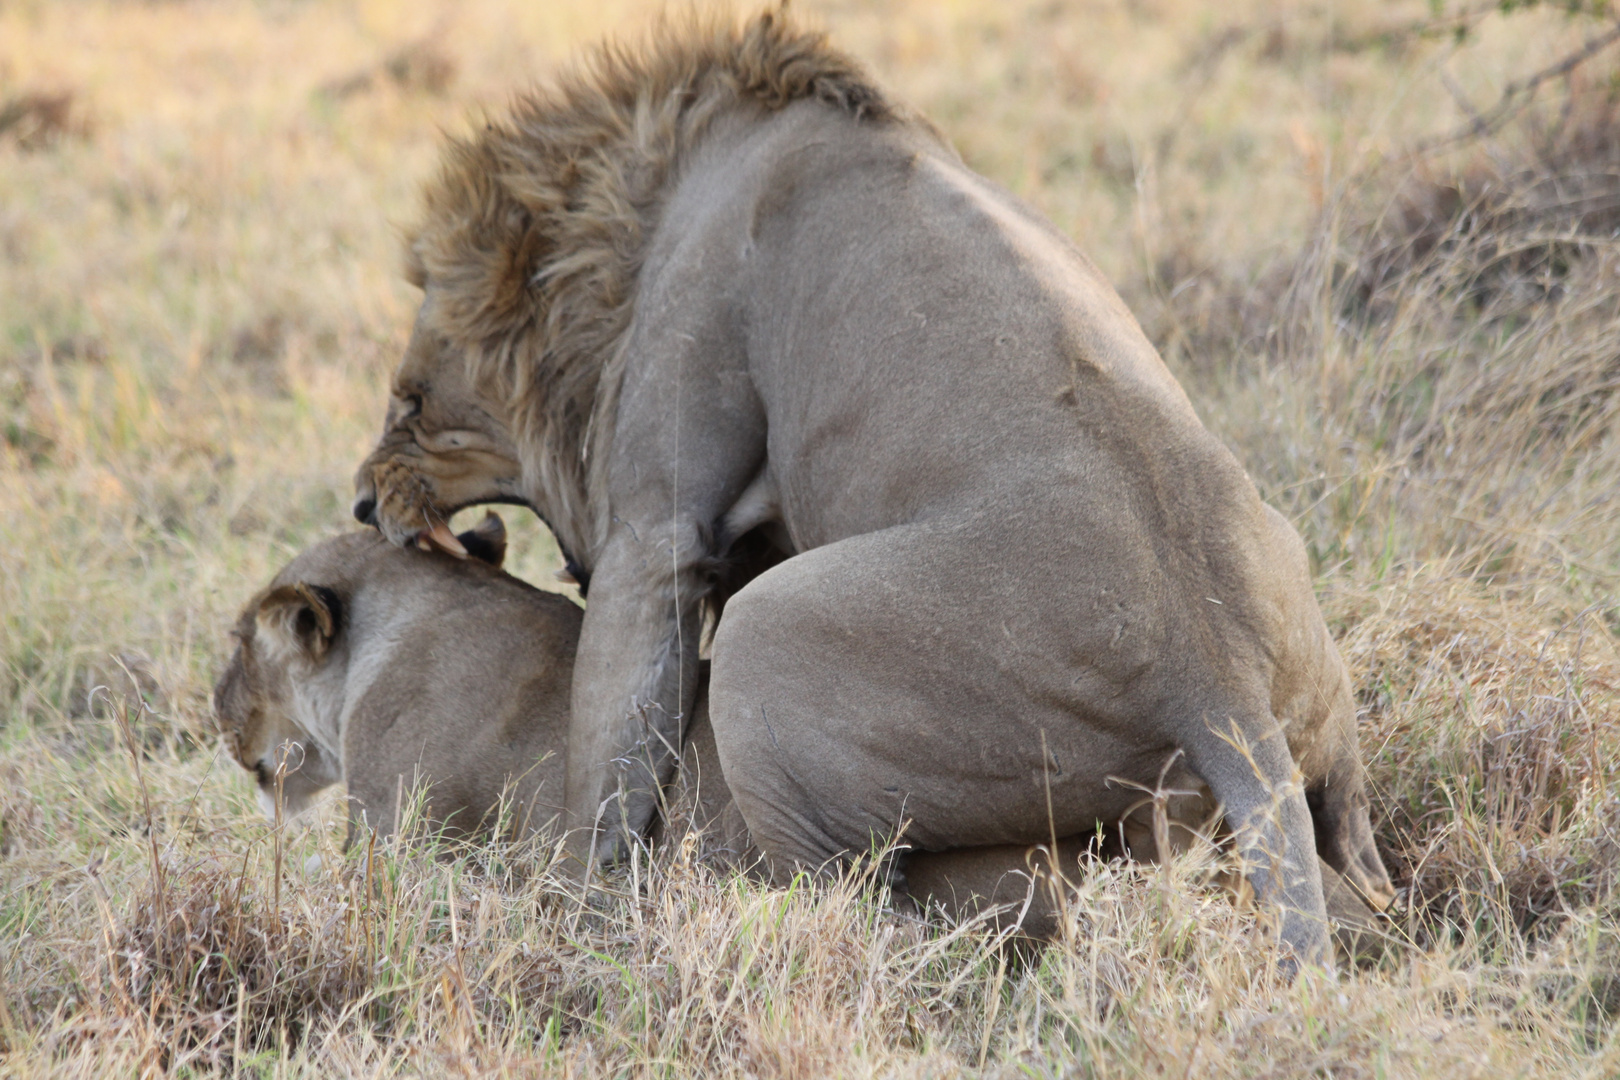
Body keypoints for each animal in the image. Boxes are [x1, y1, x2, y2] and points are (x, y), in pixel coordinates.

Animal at [354, 8, 1393, 965]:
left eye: (410, 400)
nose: (363, 503)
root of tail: (1219, 688)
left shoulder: (658, 528)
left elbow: (606, 754)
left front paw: (566, 918)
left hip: (765, 649)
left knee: (852, 901)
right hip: (1312, 706)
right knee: (1359, 881)